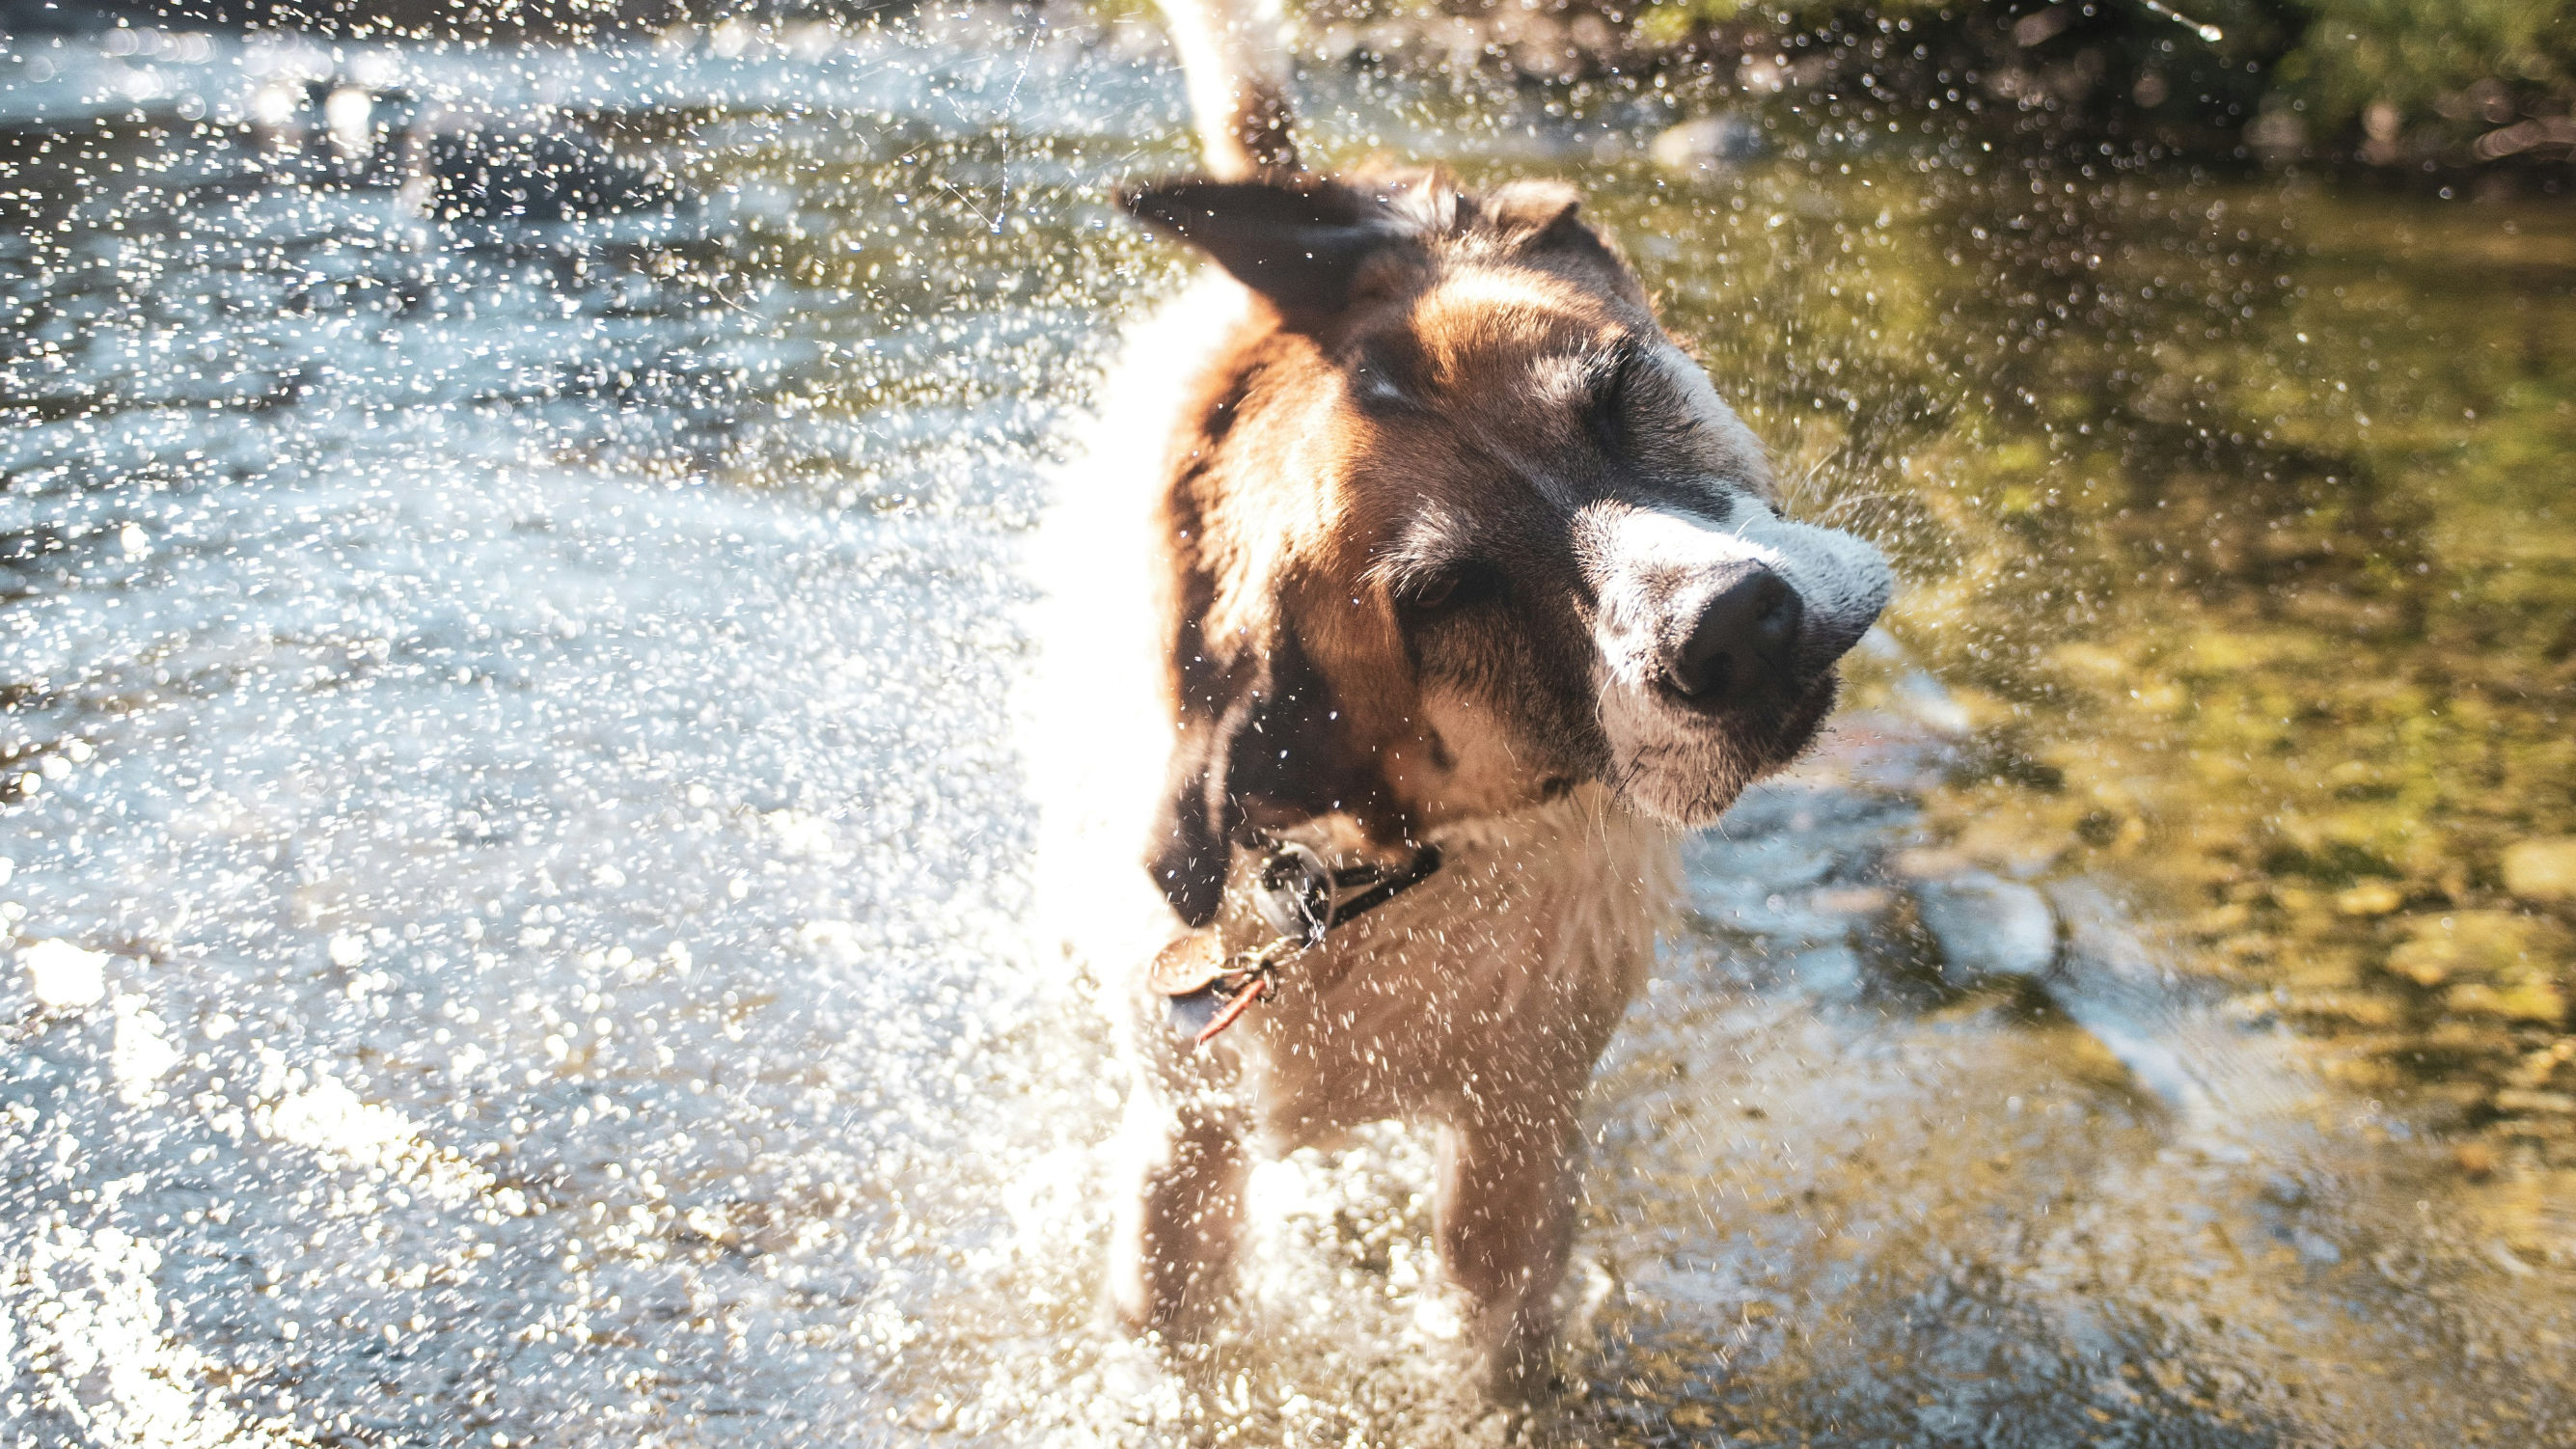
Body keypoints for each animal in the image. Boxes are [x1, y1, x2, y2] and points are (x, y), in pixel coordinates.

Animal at [1020, 0, 1896, 1400]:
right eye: (1447, 595)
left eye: (1616, 391)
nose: (1730, 628)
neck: (1362, 872)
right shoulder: (1184, 1148)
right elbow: (1175, 1334)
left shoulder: (1520, 1133)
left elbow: (1508, 1337)